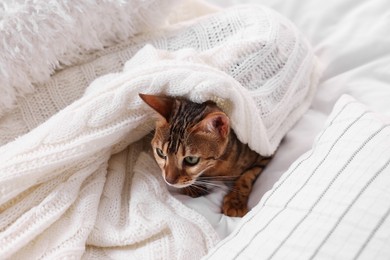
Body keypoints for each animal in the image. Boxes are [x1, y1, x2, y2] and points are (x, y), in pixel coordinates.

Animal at [139, 94, 272, 217]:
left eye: (191, 159)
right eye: (160, 153)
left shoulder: (264, 153)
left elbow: (247, 176)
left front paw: (235, 202)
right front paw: (193, 188)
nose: (169, 180)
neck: (214, 168)